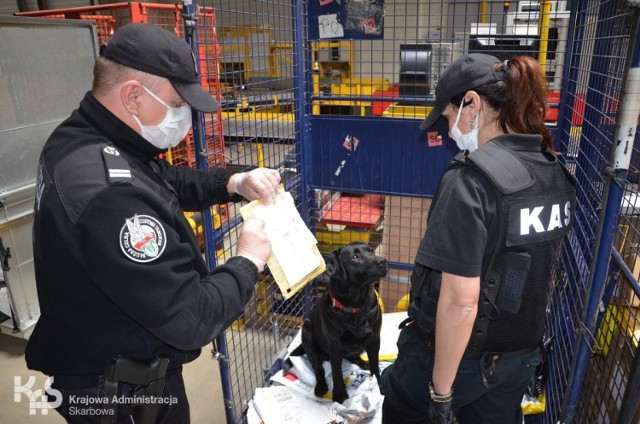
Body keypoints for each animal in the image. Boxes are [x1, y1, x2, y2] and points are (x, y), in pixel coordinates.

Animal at [292, 240, 388, 402]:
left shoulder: (374, 338)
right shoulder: (335, 346)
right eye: (355, 257)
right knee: (318, 367)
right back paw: (321, 386)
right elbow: (337, 373)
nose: (383, 261)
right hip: (307, 334)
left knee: (353, 356)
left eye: (371, 251)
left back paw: (364, 363)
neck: (356, 305)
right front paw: (339, 394)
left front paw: (378, 386)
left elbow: (375, 366)